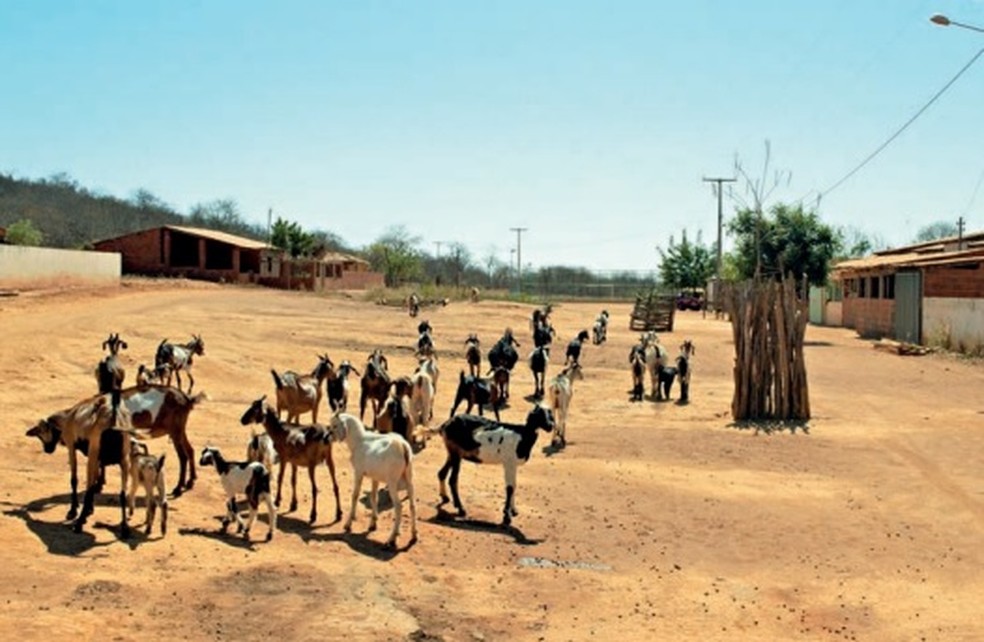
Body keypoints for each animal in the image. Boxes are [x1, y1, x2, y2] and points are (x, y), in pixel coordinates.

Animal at [328, 412, 418, 548]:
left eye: (335, 425)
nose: (327, 438)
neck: (359, 440)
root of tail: (403, 446)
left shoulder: (358, 473)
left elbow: (355, 495)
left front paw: (348, 524)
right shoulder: (375, 478)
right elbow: (373, 497)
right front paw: (372, 524)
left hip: (392, 483)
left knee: (399, 506)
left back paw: (391, 539)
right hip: (409, 481)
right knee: (412, 506)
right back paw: (414, 535)